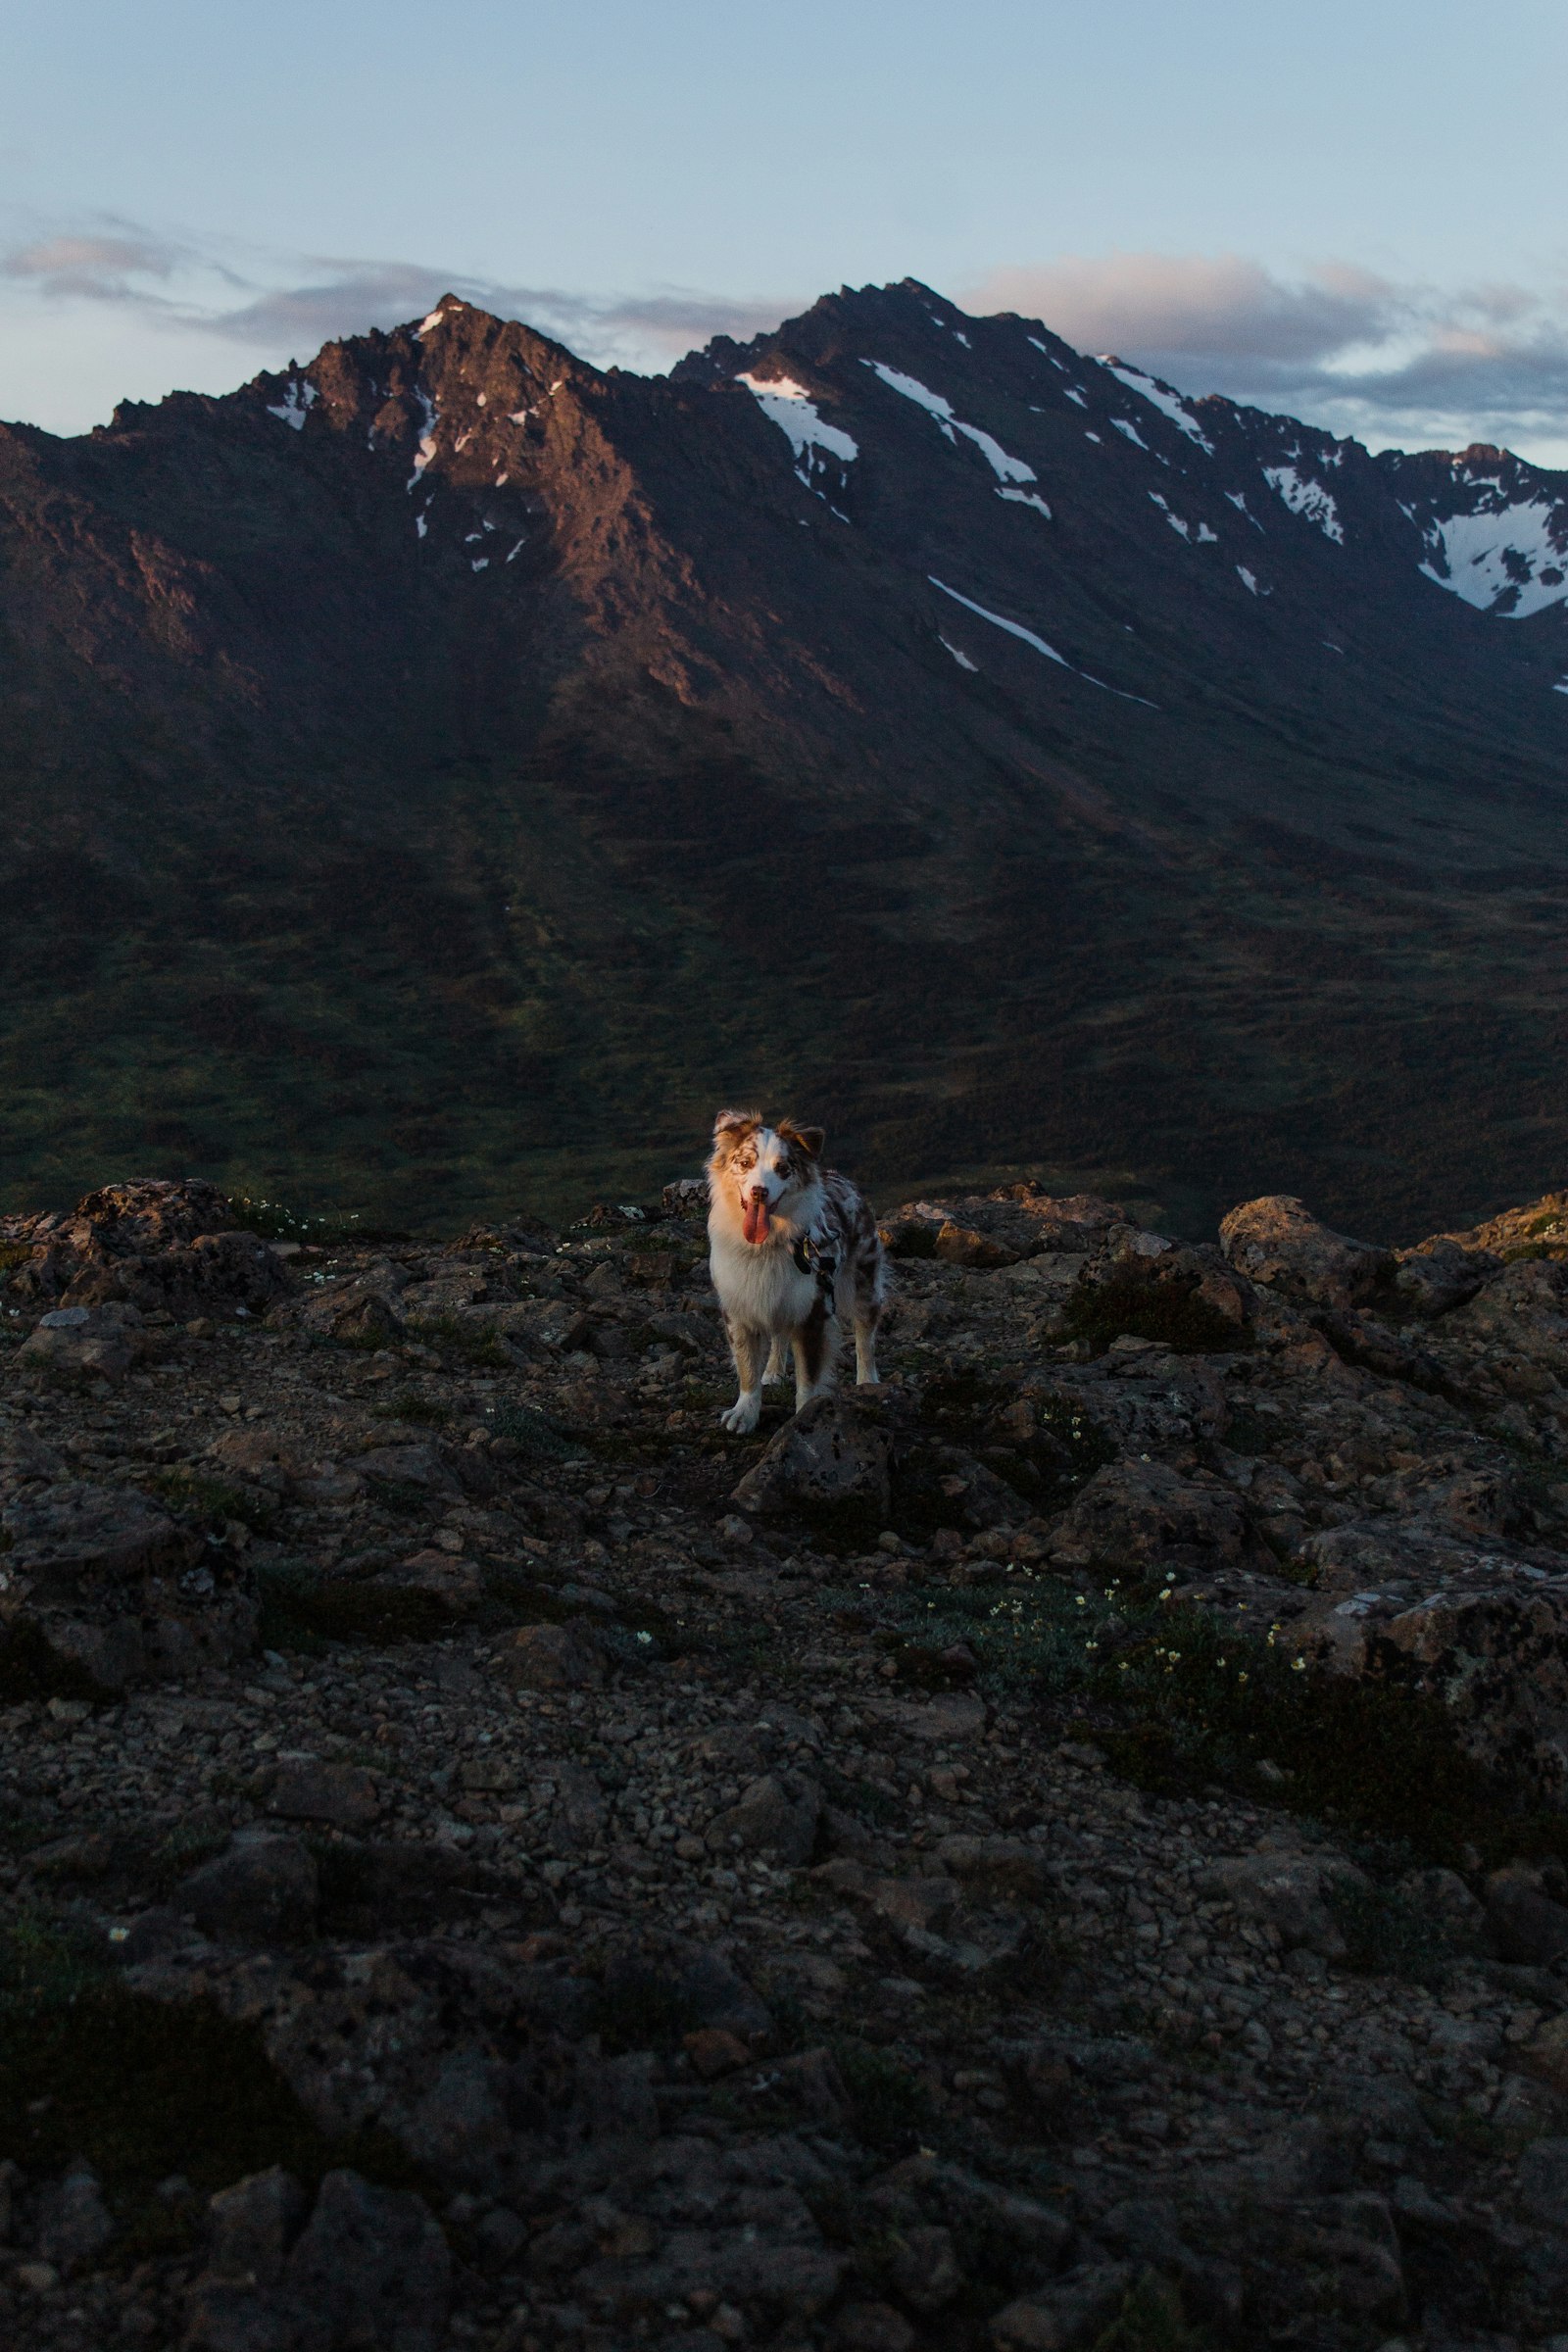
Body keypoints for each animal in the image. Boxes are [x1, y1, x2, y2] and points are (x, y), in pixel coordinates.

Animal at [710, 1105, 888, 1430]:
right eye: (745, 1163)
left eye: (783, 1168)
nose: (759, 1192)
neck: (766, 1247)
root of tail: (838, 1177)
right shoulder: (740, 1308)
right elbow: (747, 1369)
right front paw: (744, 1412)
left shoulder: (812, 1313)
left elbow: (808, 1377)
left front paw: (805, 1414)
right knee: (779, 1335)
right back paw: (773, 1372)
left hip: (863, 1282)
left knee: (865, 1336)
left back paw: (867, 1381)